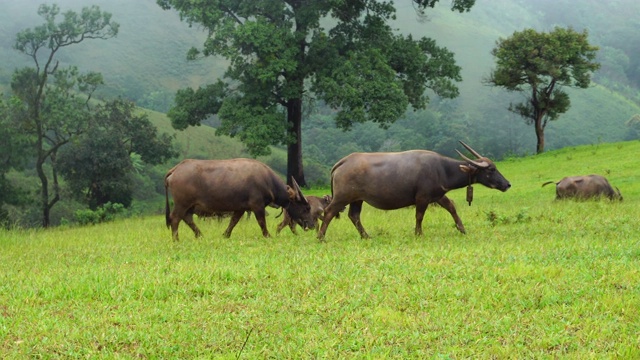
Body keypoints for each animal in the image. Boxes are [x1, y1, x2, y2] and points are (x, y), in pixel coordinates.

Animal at [165, 159, 316, 240]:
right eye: (306, 208)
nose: (312, 225)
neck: (266, 180)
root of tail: (176, 169)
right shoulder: (257, 206)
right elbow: (261, 222)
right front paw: (268, 235)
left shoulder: (240, 208)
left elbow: (233, 221)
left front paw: (225, 235)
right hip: (182, 204)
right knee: (175, 218)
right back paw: (176, 239)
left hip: (189, 206)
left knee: (187, 218)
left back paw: (200, 235)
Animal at [318, 142, 512, 240]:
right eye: (491, 170)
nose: (507, 184)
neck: (442, 169)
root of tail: (343, 162)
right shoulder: (423, 198)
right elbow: (419, 216)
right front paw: (418, 233)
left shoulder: (438, 195)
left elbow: (451, 207)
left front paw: (462, 229)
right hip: (342, 197)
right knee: (329, 212)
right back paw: (321, 236)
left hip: (357, 199)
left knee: (354, 216)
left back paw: (366, 236)